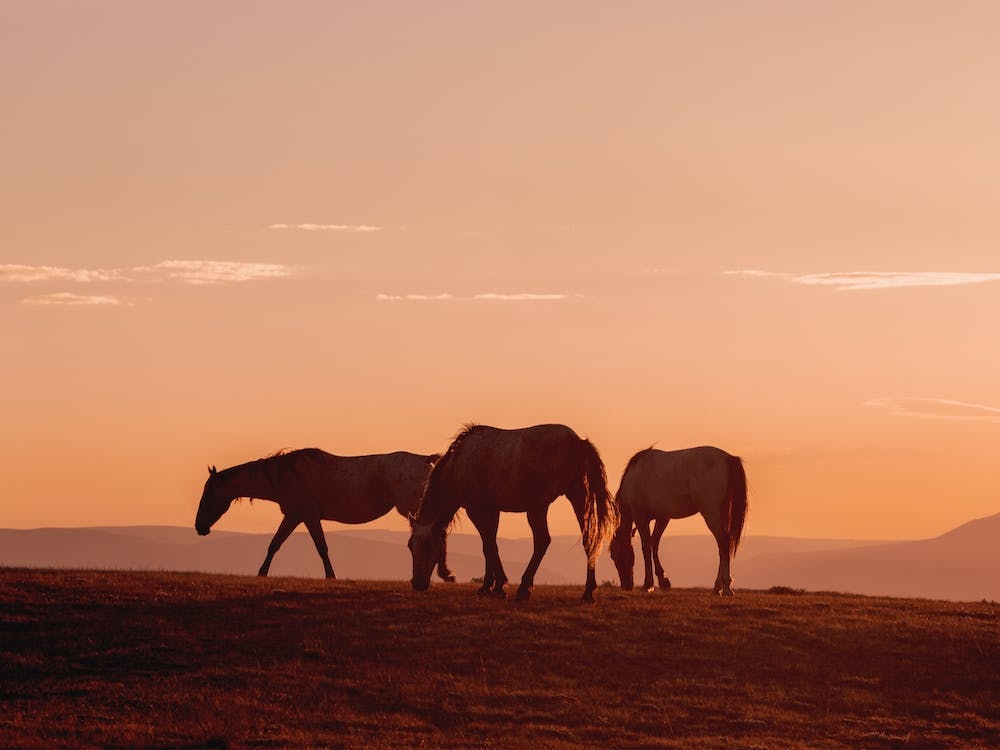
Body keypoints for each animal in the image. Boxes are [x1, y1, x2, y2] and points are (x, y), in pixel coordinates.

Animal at [194, 448, 454, 582]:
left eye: (207, 495)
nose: (199, 527)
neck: (284, 475)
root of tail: (424, 459)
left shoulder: (305, 515)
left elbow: (320, 547)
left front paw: (330, 576)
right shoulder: (295, 516)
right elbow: (275, 544)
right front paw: (262, 573)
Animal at [408, 423, 619, 603]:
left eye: (428, 546)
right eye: (410, 546)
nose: (417, 584)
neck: (458, 466)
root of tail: (578, 441)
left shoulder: (476, 510)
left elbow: (489, 546)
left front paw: (498, 586)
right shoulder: (492, 511)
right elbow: (488, 545)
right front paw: (488, 586)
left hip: (538, 507)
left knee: (542, 540)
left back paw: (524, 588)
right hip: (576, 495)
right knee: (587, 540)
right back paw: (588, 592)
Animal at [609, 446, 748, 596]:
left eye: (614, 556)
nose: (626, 586)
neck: (634, 477)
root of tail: (728, 458)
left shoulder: (640, 517)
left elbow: (646, 546)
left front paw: (648, 584)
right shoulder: (662, 518)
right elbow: (654, 544)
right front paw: (663, 581)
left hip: (711, 512)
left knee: (723, 541)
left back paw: (726, 587)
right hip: (722, 511)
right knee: (722, 546)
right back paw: (718, 587)